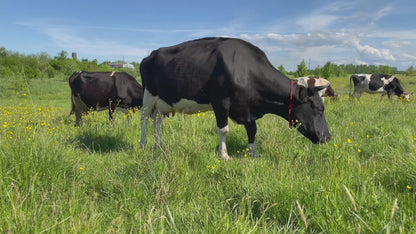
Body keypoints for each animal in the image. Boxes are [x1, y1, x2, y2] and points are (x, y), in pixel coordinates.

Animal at [140, 37, 332, 160]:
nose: (328, 137)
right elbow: (224, 130)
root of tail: (149, 55)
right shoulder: (221, 102)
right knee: (144, 120)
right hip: (148, 96)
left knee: (158, 122)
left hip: (163, 102)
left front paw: (253, 153)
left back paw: (158, 146)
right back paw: (143, 144)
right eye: (318, 110)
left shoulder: (247, 107)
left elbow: (252, 130)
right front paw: (224, 155)